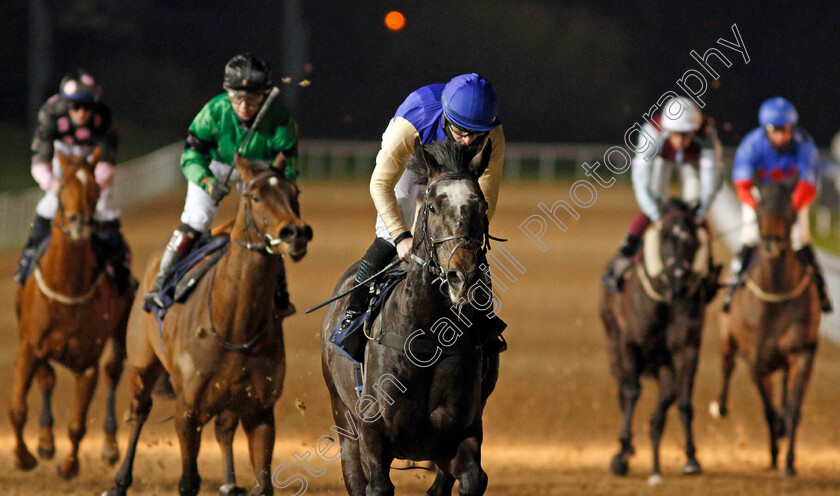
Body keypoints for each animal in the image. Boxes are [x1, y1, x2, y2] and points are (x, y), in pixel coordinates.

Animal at [10, 153, 135, 478]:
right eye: (63, 185)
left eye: (96, 188)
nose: (80, 222)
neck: (66, 289)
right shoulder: (29, 347)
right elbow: (18, 409)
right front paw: (24, 457)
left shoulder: (87, 362)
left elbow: (78, 424)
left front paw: (69, 465)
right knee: (48, 379)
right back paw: (45, 442)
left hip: (121, 328)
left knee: (113, 371)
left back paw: (109, 447)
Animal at [105, 155, 312, 496]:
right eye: (255, 196)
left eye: (294, 191)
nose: (296, 232)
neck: (235, 327)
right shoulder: (187, 411)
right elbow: (189, 481)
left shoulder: (260, 411)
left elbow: (263, 483)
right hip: (142, 365)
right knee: (139, 412)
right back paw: (119, 481)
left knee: (224, 430)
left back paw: (229, 483)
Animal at [318, 140, 496, 496]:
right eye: (432, 207)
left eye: (482, 207)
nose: (463, 276)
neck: (427, 338)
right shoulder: (373, 438)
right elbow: (377, 485)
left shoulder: (462, 434)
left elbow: (472, 478)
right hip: (343, 418)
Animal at [596, 201, 716, 484]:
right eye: (665, 238)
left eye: (693, 241)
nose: (679, 278)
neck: (666, 298)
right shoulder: (629, 345)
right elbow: (631, 392)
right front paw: (622, 451)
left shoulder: (687, 350)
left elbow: (685, 403)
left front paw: (691, 458)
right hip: (615, 348)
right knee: (624, 391)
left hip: (665, 368)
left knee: (662, 407)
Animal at [708, 178, 820, 476]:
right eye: (759, 212)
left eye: (791, 210)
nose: (770, 244)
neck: (776, 294)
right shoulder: (756, 362)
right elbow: (769, 411)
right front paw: (773, 453)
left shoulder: (802, 353)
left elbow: (793, 409)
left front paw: (790, 462)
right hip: (727, 339)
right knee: (726, 367)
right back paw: (720, 406)